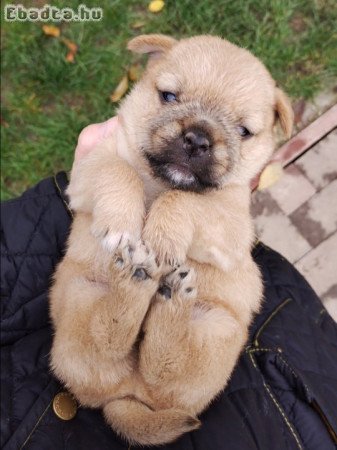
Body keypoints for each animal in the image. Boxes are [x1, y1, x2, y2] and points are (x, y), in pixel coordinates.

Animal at [48, 35, 292, 446]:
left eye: (243, 131)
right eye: (169, 96)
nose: (197, 139)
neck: (160, 181)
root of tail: (127, 398)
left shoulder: (232, 222)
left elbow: (184, 200)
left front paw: (162, 237)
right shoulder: (90, 167)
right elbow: (120, 172)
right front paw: (122, 224)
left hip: (216, 332)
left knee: (163, 364)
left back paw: (167, 294)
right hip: (79, 298)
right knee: (109, 340)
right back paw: (137, 280)